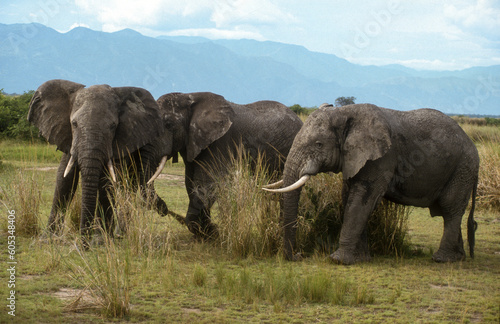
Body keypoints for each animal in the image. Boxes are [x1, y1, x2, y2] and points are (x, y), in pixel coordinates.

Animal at [28, 79, 174, 243]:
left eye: (113, 126)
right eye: (74, 124)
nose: (165, 210)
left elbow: (106, 182)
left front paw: (100, 240)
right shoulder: (69, 138)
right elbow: (65, 178)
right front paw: (47, 239)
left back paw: (117, 234)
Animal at [148, 91, 302, 238]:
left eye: (168, 124)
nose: (165, 209)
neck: (188, 96)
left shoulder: (221, 142)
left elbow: (207, 183)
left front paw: (212, 233)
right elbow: (190, 182)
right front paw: (208, 231)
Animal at [266, 105, 480, 264]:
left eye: (318, 144)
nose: (299, 256)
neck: (345, 113)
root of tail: (473, 148)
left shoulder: (381, 158)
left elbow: (362, 199)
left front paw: (339, 260)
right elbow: (349, 197)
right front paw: (361, 259)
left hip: (462, 169)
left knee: (450, 208)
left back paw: (442, 259)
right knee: (448, 211)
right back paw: (458, 257)